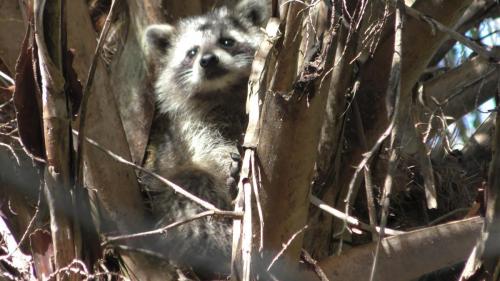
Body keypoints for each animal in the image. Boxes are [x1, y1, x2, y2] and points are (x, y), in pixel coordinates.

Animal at [141, 1, 266, 278]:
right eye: (192, 52)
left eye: (227, 41)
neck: (223, 90)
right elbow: (206, 149)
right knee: (192, 184)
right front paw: (227, 164)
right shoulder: (187, 128)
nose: (208, 60)